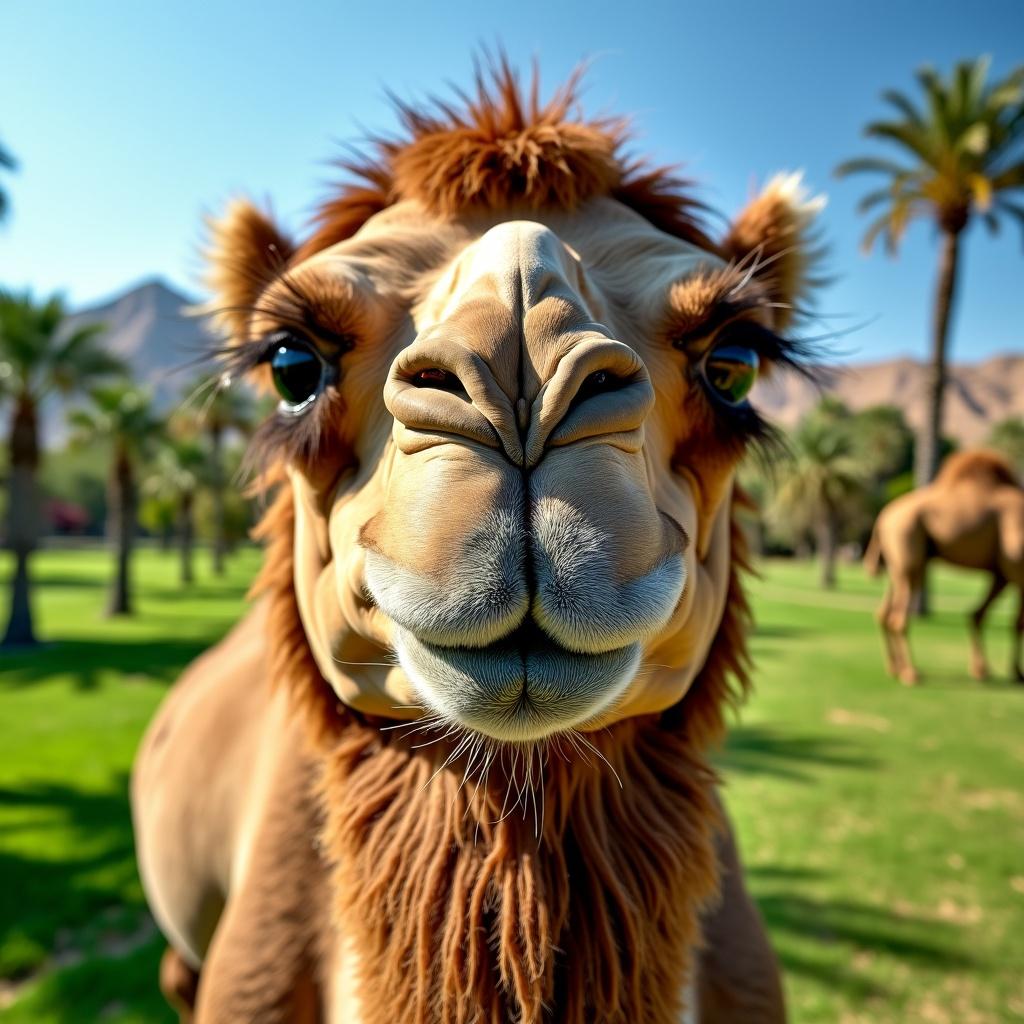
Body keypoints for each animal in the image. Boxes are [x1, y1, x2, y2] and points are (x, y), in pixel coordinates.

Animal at [866, 449, 1024, 685]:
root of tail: (882, 518)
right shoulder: (1017, 569)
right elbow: (1017, 623)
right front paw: (1016, 673)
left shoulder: (1001, 573)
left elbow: (978, 614)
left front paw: (981, 670)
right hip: (909, 546)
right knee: (898, 618)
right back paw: (910, 673)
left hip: (900, 564)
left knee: (884, 612)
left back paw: (894, 669)